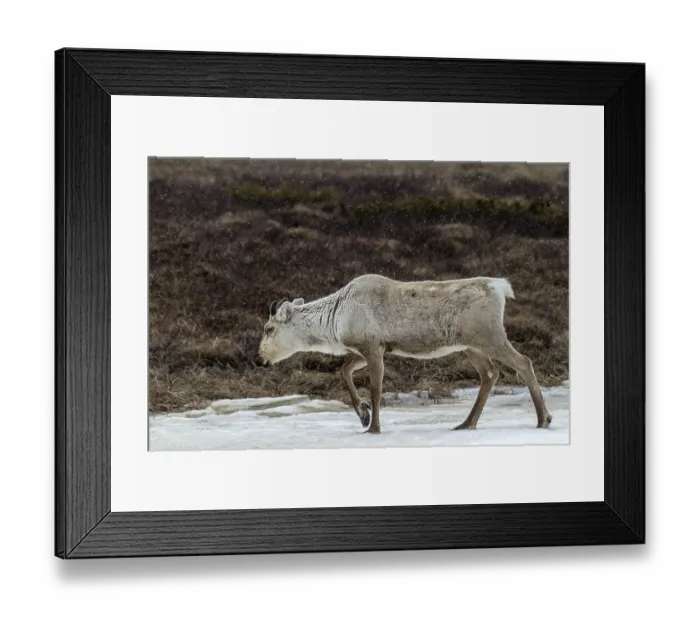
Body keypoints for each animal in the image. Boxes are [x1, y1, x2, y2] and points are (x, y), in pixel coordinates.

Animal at [253, 274, 552, 434]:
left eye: (268, 328)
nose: (258, 358)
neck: (334, 322)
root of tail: (501, 287)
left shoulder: (372, 347)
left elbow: (376, 388)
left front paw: (373, 426)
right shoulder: (369, 348)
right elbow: (344, 371)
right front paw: (362, 413)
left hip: (488, 335)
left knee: (523, 362)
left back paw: (543, 419)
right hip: (471, 345)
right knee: (490, 373)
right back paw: (467, 423)